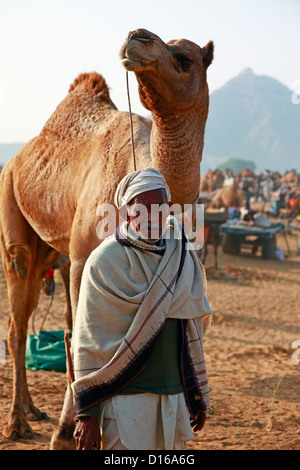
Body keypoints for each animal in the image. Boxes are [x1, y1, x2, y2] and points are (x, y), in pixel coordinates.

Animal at [0, 28, 213, 448]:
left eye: (185, 59)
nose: (138, 36)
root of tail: (16, 158)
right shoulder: (83, 257)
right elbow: (82, 331)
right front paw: (67, 433)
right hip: (9, 199)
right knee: (17, 311)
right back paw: (17, 422)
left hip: (47, 247)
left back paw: (32, 410)